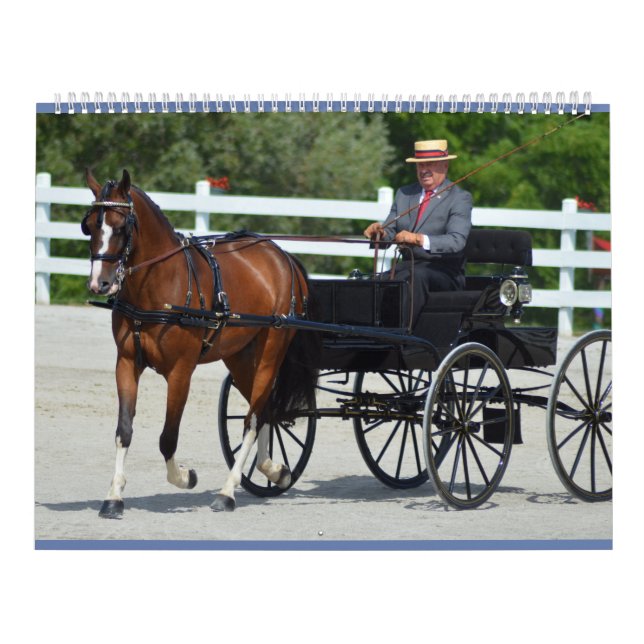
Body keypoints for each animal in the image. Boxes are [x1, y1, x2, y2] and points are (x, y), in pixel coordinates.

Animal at [81, 168, 318, 517]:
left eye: (121, 226)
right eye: (89, 226)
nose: (101, 283)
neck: (157, 286)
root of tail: (282, 255)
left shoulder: (181, 371)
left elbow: (168, 438)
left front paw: (185, 477)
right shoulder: (126, 363)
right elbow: (123, 431)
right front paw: (113, 496)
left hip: (271, 352)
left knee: (253, 418)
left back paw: (228, 491)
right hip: (241, 357)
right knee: (266, 409)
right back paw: (274, 471)